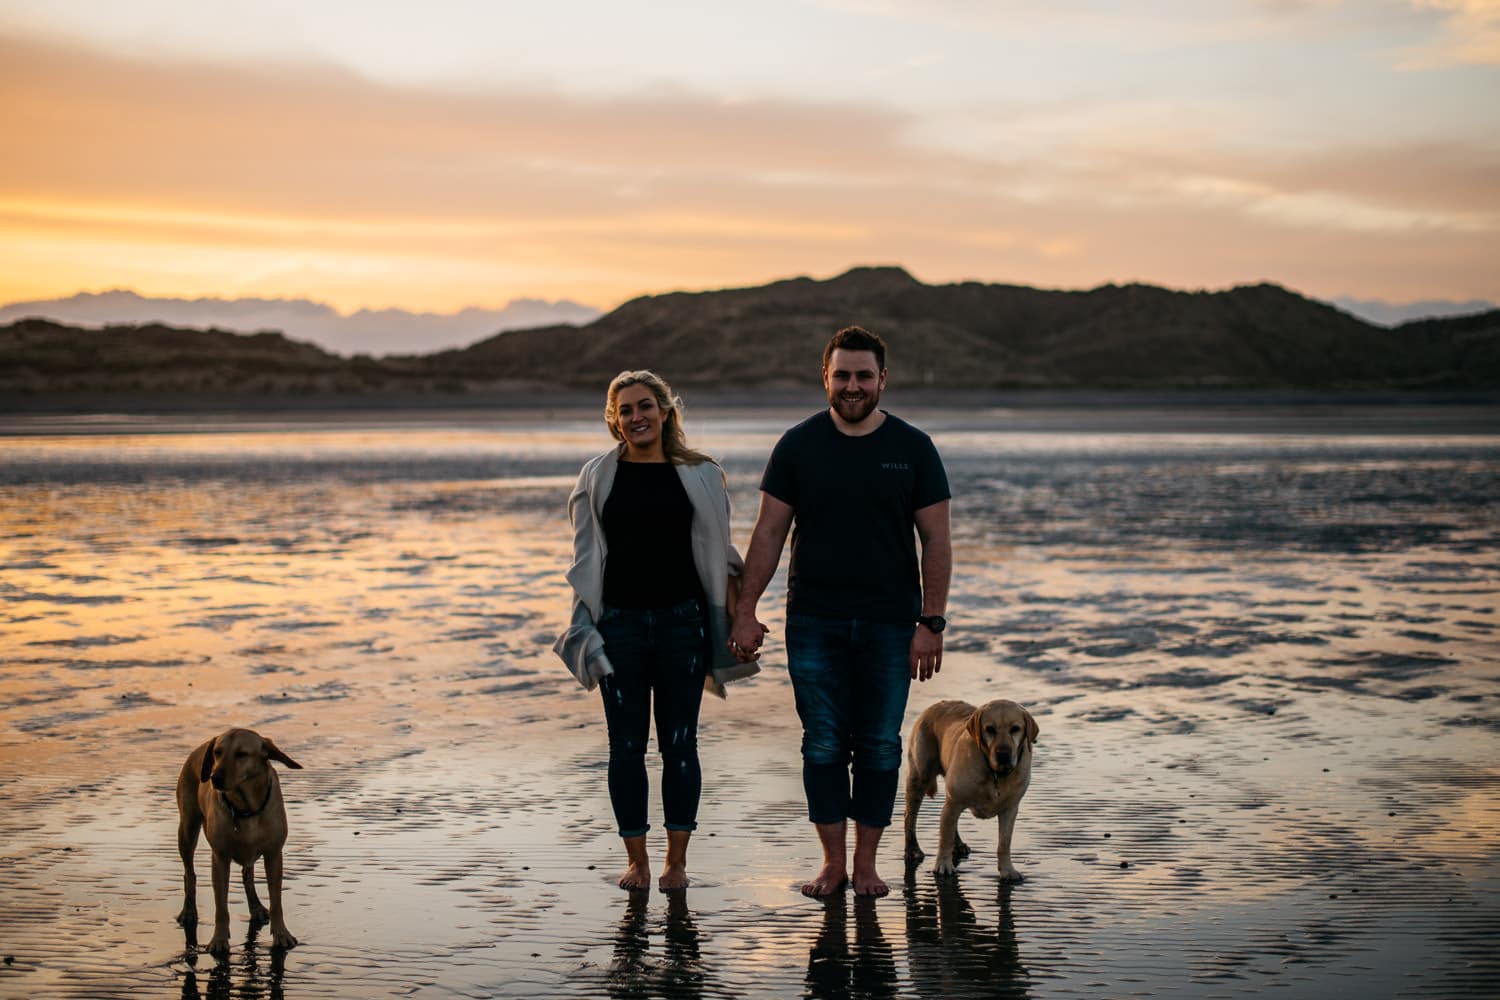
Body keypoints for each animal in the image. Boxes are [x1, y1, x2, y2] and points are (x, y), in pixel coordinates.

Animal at [174, 728, 301, 953]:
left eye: (242, 754)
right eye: (217, 753)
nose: (214, 778)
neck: (245, 806)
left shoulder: (274, 854)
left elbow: (276, 900)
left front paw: (281, 934)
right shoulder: (220, 857)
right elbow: (221, 906)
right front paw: (219, 939)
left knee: (247, 874)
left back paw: (256, 907)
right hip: (187, 828)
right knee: (189, 873)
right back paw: (189, 911)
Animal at [900, 701, 1044, 881]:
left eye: (1015, 728)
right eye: (990, 729)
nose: (1003, 754)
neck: (995, 774)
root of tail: (934, 706)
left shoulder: (1010, 809)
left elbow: (1004, 843)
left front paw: (1007, 870)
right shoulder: (955, 800)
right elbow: (945, 838)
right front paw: (943, 865)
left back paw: (959, 844)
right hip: (920, 776)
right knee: (910, 816)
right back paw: (912, 849)